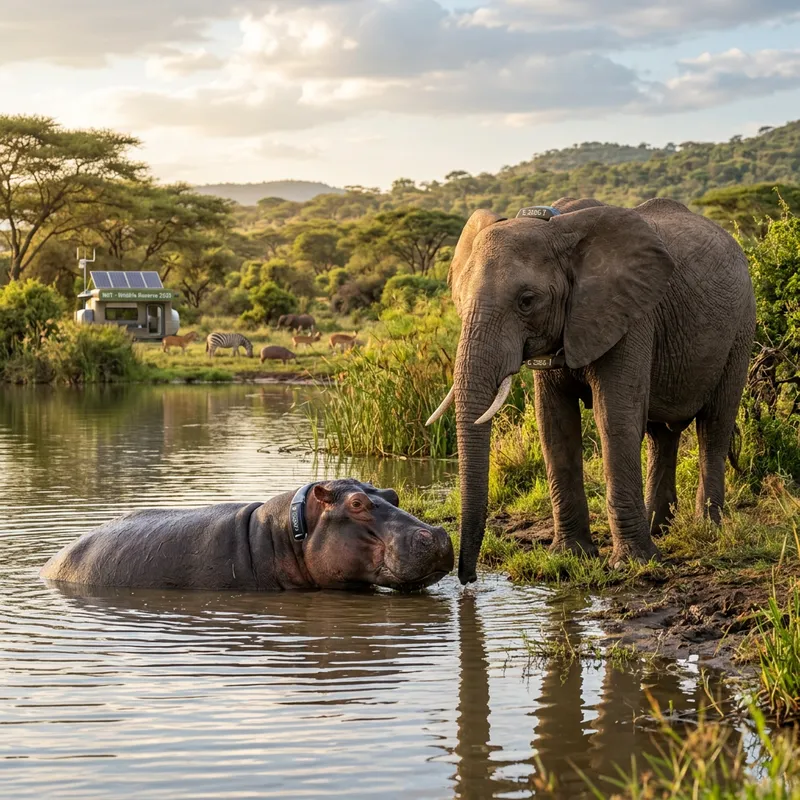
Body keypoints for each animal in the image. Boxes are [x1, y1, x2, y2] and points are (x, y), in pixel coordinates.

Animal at [429, 197, 756, 584]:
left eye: (527, 301)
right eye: (459, 299)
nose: (467, 579)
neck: (556, 226)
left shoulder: (630, 315)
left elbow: (614, 417)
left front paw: (632, 564)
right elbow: (555, 425)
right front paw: (570, 556)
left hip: (740, 328)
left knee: (714, 427)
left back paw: (707, 529)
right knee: (661, 436)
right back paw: (658, 528)